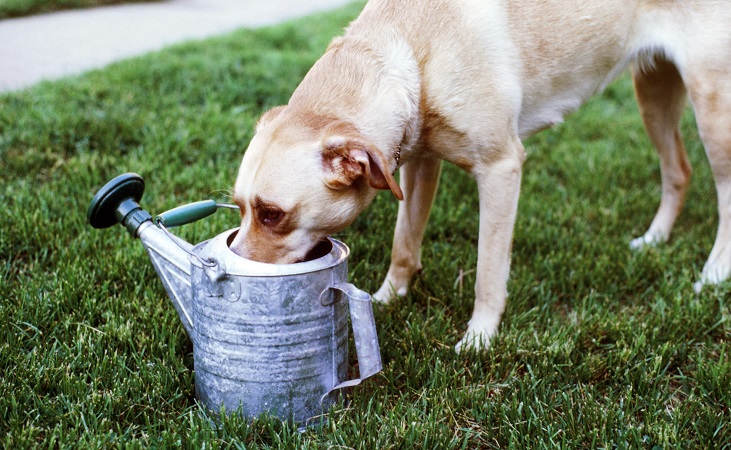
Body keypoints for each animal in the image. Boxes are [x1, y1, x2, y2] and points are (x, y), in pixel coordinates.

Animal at [230, 0, 731, 352]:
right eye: (239, 206)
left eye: (272, 214)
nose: (228, 276)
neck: (411, 50)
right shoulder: (417, 162)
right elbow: (403, 243)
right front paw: (390, 297)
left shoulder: (501, 168)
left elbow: (488, 270)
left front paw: (480, 337)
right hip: (653, 91)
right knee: (679, 171)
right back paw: (656, 238)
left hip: (712, 108)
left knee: (724, 194)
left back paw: (713, 273)